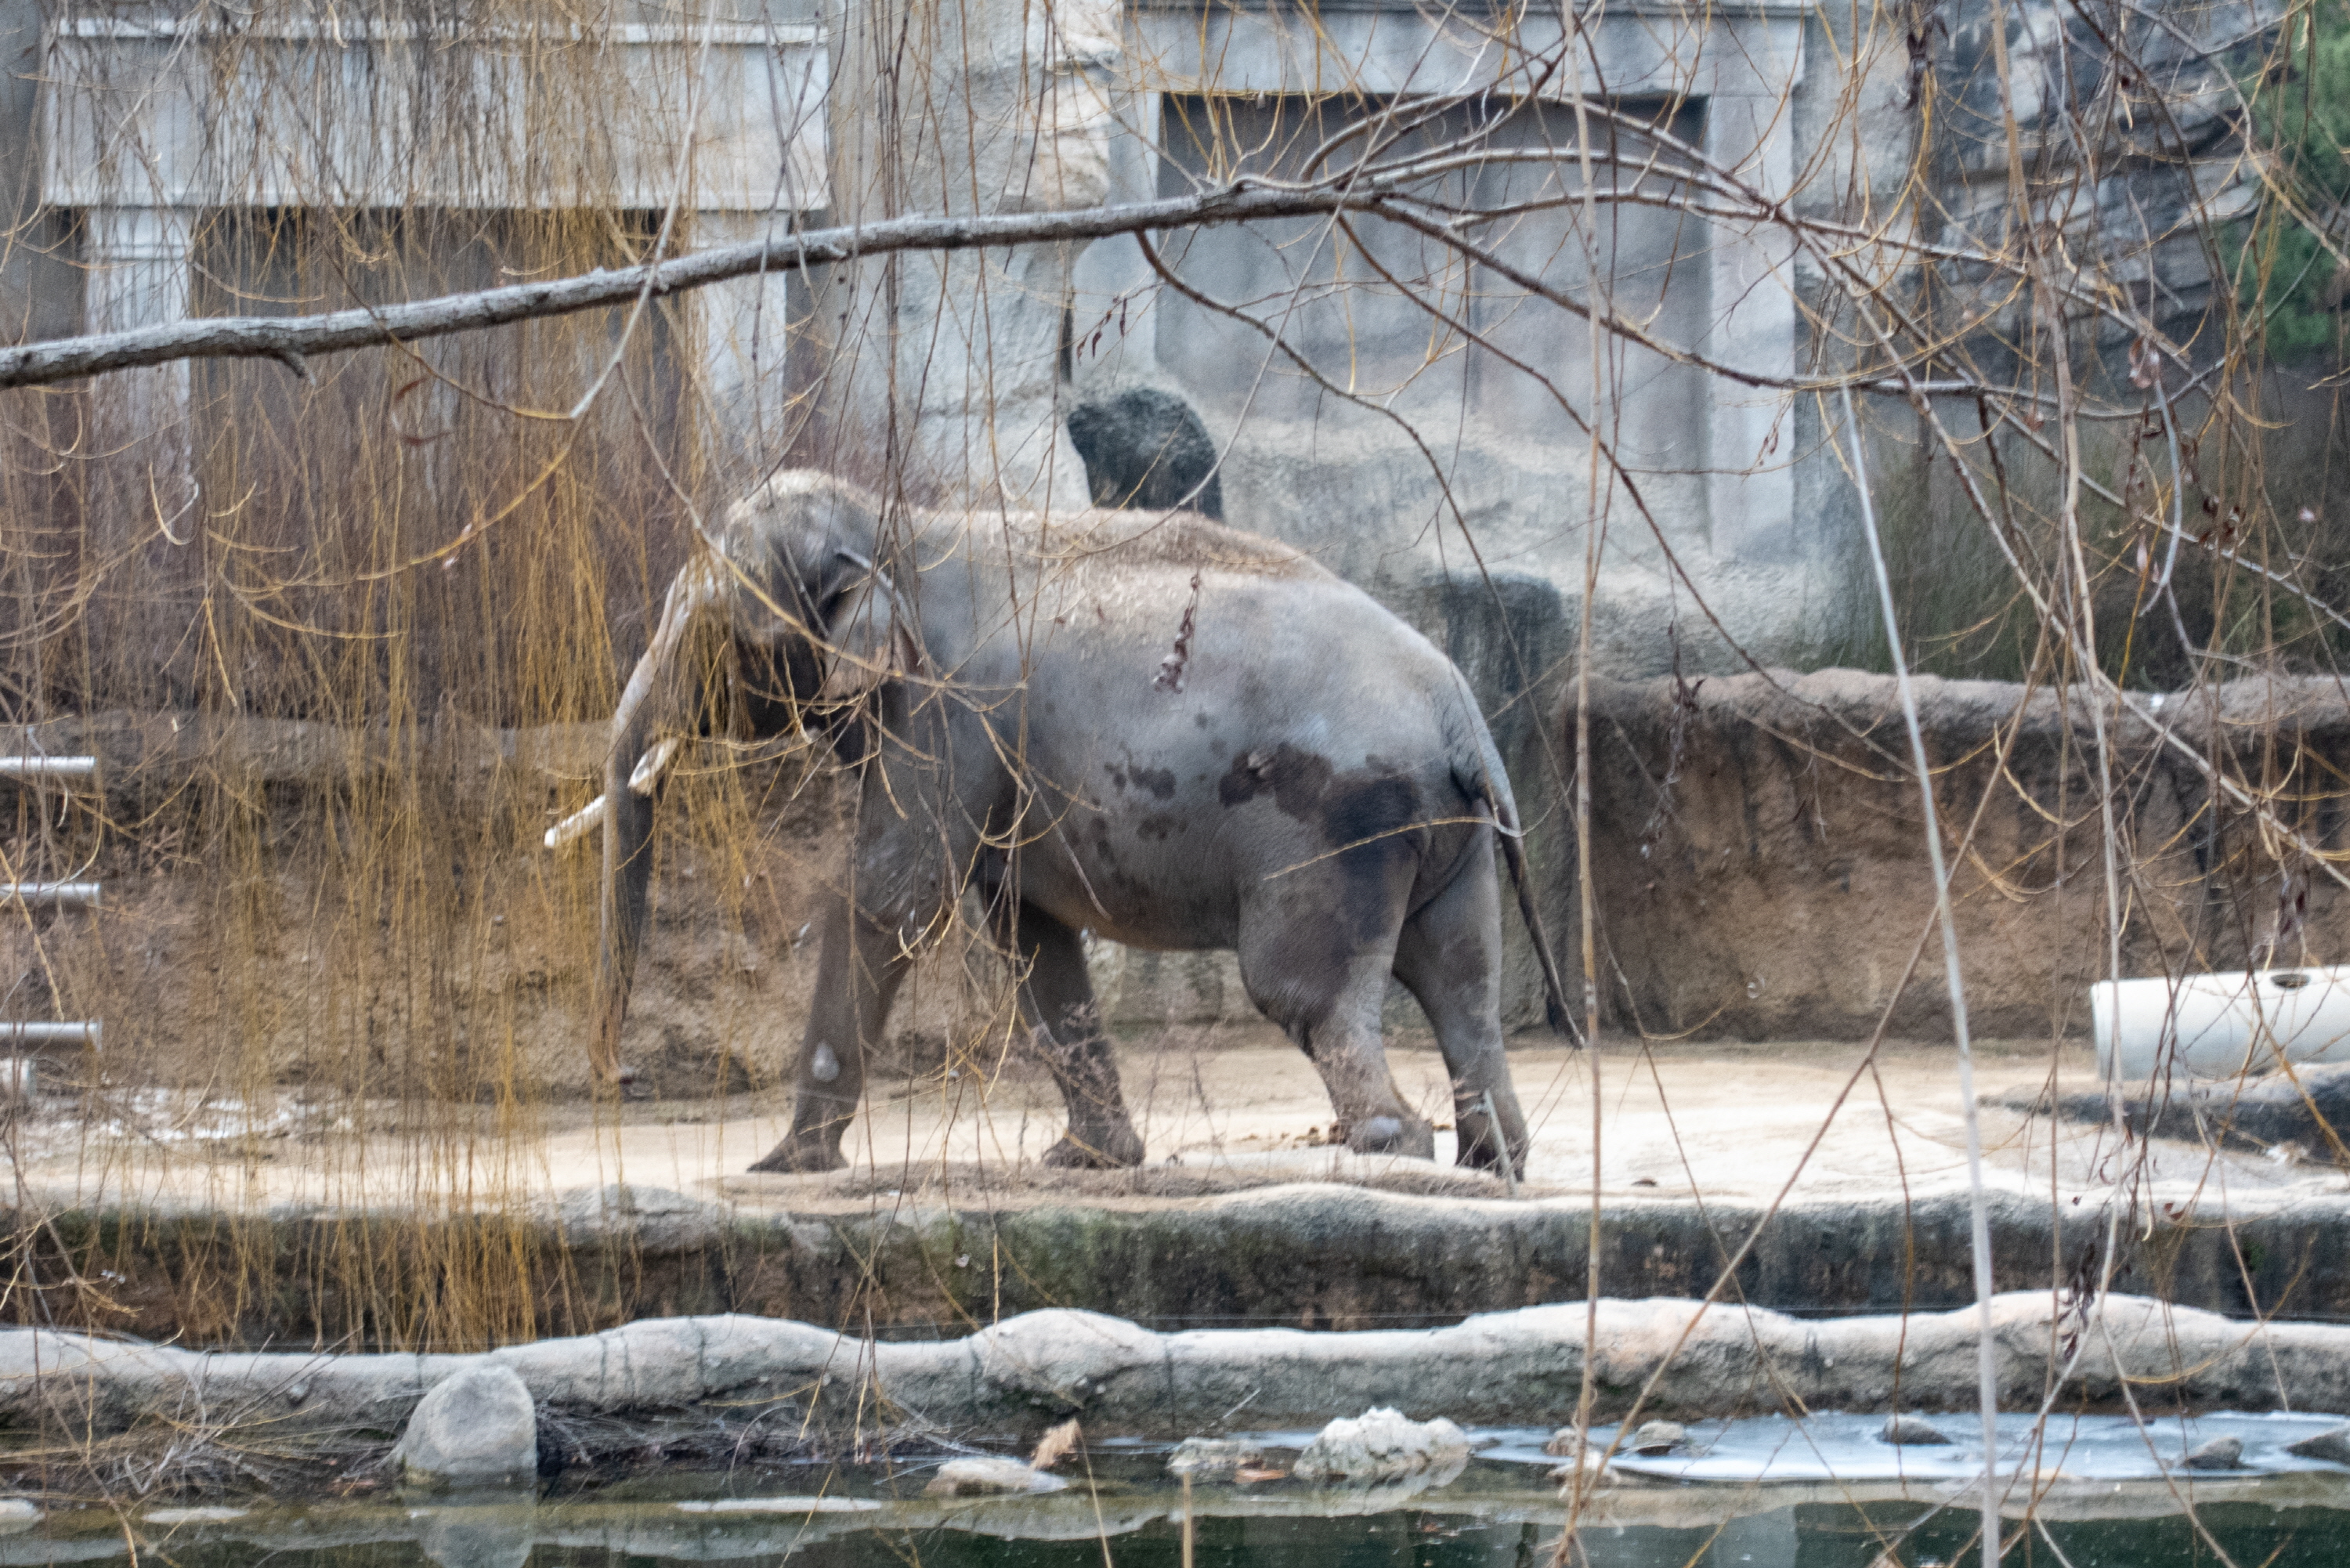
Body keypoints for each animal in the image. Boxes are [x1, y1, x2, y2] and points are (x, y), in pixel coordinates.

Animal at [571, 469, 1572, 1176]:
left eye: (711, 632)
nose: (624, 1079)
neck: (900, 525)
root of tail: (1461, 710)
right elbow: (1025, 931)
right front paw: (1089, 1160)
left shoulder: (948, 711)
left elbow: (893, 896)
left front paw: (783, 1164)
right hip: (1448, 829)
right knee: (1462, 983)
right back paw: (1494, 1163)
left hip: (1336, 824)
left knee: (1305, 989)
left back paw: (1392, 1147)